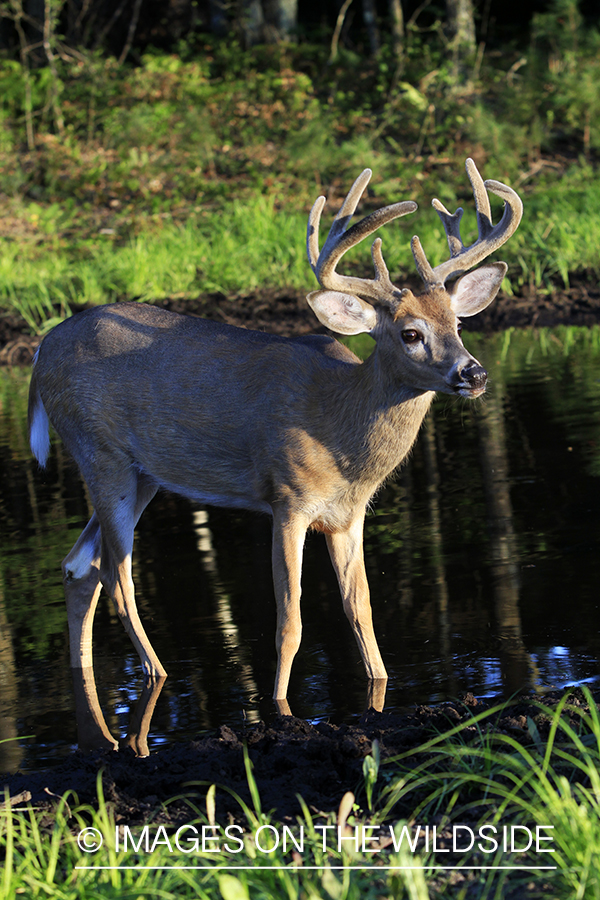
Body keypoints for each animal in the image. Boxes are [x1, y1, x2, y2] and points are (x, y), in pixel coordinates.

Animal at [29, 162, 520, 712]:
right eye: (410, 334)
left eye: (457, 323)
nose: (474, 374)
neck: (339, 430)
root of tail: (40, 350)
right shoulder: (288, 498)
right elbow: (290, 623)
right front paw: (280, 709)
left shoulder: (348, 516)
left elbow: (361, 610)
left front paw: (379, 686)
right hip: (99, 451)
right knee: (117, 576)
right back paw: (157, 674)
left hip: (142, 474)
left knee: (80, 565)